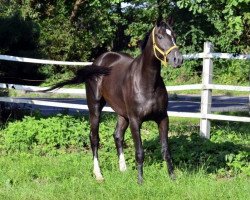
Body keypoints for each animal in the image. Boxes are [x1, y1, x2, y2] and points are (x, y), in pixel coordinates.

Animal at [47, 19, 183, 183]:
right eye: (160, 36)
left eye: (174, 35)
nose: (178, 59)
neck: (147, 82)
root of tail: (97, 62)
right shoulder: (135, 120)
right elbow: (139, 152)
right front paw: (140, 181)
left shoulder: (163, 118)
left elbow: (166, 151)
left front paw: (173, 178)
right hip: (95, 108)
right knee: (94, 138)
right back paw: (98, 174)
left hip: (122, 114)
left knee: (117, 136)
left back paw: (123, 169)